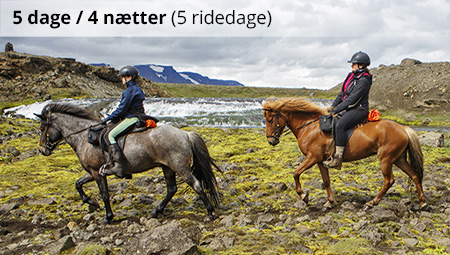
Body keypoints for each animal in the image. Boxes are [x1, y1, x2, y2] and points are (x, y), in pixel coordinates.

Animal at [34, 102, 221, 222]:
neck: (84, 138)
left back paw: (210, 212)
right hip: (167, 167)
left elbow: (104, 194)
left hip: (179, 166)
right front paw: (91, 202)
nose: (42, 150)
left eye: (42, 128)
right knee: (171, 189)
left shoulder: (97, 172)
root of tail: (185, 134)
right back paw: (156, 211)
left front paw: (108, 217)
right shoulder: (93, 171)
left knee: (196, 184)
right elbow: (78, 184)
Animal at [260, 97, 426, 209]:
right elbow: (326, 181)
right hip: (398, 159)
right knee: (414, 175)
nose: (271, 141)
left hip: (385, 159)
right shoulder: (320, 161)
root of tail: (403, 128)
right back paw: (422, 202)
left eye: (270, 120)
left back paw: (372, 202)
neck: (309, 127)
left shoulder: (312, 157)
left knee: (389, 181)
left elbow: (296, 173)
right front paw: (329, 202)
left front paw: (304, 196)